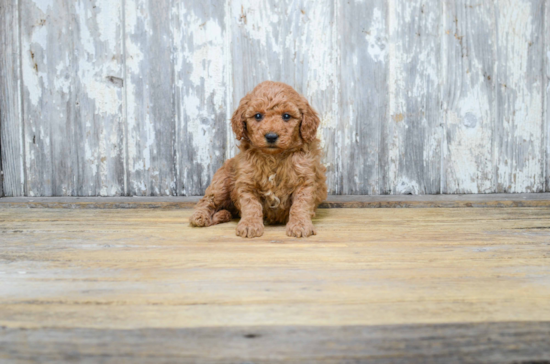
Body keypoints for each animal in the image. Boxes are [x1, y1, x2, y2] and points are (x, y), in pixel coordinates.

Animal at [190, 80, 328, 237]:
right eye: (257, 116)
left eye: (286, 116)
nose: (271, 136)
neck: (274, 157)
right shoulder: (246, 182)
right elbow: (251, 205)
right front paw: (250, 225)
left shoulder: (305, 180)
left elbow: (301, 204)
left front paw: (300, 225)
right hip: (221, 183)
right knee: (207, 200)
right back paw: (200, 216)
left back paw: (224, 214)